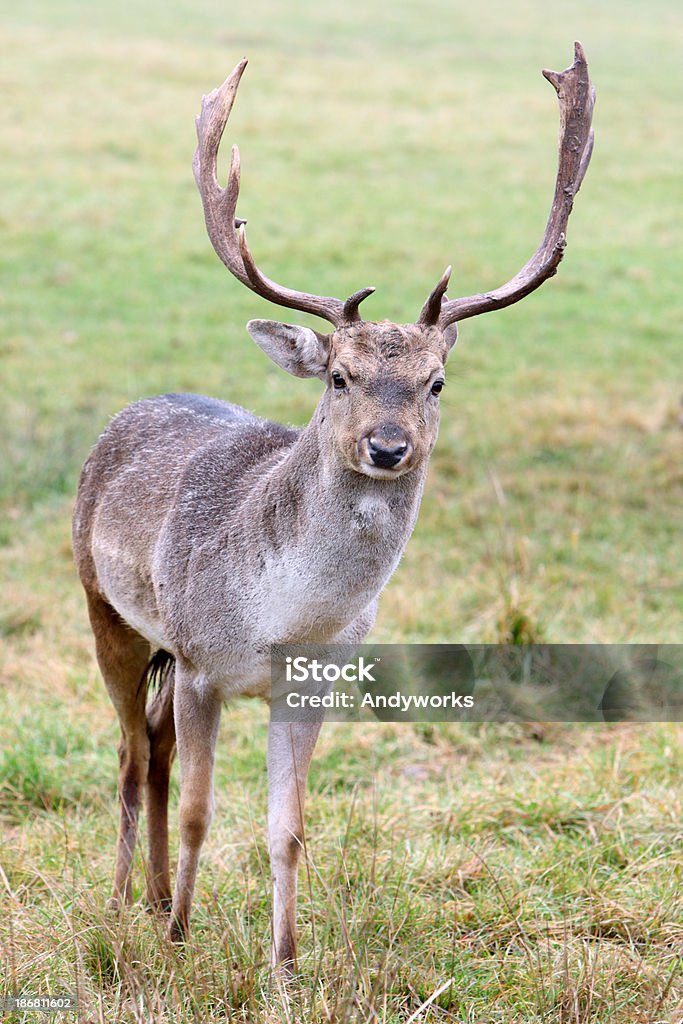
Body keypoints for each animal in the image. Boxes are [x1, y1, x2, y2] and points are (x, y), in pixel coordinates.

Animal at [73, 39, 593, 966]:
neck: (281, 616)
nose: (387, 447)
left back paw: (157, 896)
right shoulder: (201, 661)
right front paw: (182, 941)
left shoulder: (314, 681)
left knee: (157, 750)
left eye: (435, 382)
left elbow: (288, 827)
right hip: (107, 606)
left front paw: (283, 961)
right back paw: (127, 903)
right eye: (340, 376)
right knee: (134, 757)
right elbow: (204, 809)